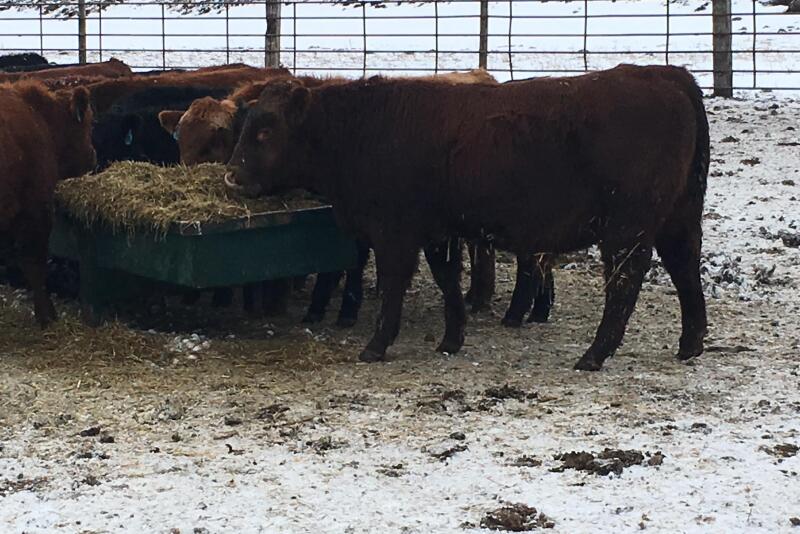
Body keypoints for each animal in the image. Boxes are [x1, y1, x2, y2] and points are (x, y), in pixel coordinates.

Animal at [224, 64, 710, 371]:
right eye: (245, 126)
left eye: (265, 130)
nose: (231, 175)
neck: (363, 128)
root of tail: (665, 74)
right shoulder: (437, 230)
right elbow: (447, 280)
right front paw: (451, 339)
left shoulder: (395, 232)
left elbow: (395, 286)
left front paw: (377, 345)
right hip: (677, 219)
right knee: (685, 268)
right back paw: (690, 344)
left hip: (627, 227)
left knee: (625, 283)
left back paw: (595, 354)